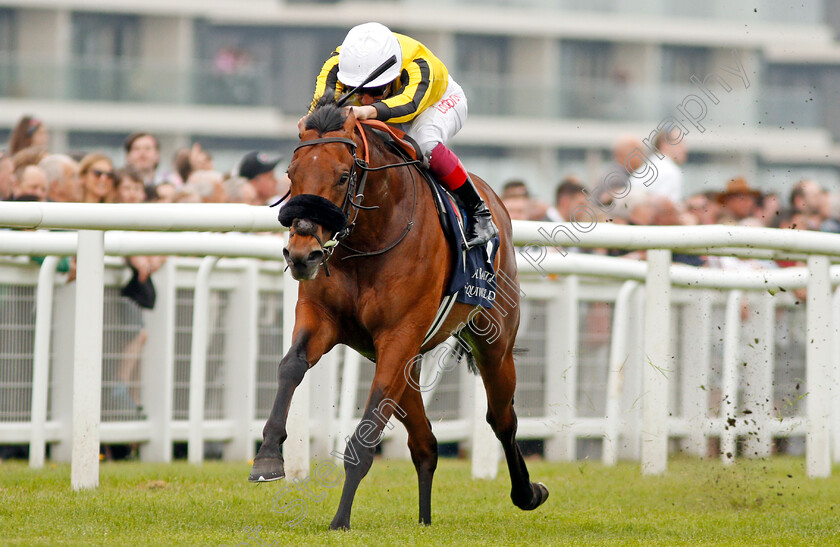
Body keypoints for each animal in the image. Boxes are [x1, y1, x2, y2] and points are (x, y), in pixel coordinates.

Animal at [249, 99, 552, 532]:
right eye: (291, 174)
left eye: (343, 176)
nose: (302, 254)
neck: (368, 239)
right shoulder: (322, 318)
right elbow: (290, 366)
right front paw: (268, 457)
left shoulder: (399, 334)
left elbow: (367, 431)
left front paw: (340, 519)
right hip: (406, 361)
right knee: (426, 443)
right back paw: (424, 519)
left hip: (493, 343)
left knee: (501, 418)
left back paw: (527, 493)